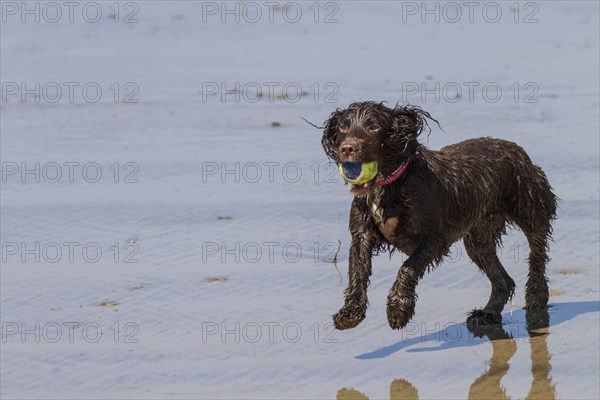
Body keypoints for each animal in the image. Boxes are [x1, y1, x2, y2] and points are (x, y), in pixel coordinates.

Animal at [324, 102, 556, 332]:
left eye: (374, 127)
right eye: (343, 127)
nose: (347, 148)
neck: (390, 182)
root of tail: (518, 151)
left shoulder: (434, 239)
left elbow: (407, 268)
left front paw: (398, 309)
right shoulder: (361, 235)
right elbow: (357, 272)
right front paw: (350, 313)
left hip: (531, 209)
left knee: (537, 253)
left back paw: (536, 297)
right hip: (478, 240)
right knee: (503, 281)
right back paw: (488, 313)